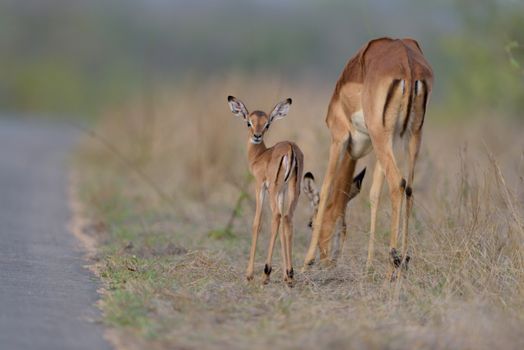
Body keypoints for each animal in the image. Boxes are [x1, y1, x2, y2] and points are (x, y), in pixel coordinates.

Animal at [226, 96, 302, 288]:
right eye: (249, 122)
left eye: (267, 124)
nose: (257, 136)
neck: (260, 156)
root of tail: (290, 149)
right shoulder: (282, 191)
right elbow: (282, 228)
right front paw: (286, 275)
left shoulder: (260, 185)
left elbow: (257, 223)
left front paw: (249, 274)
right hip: (293, 190)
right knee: (287, 218)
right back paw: (291, 275)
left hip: (273, 190)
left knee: (276, 217)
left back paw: (266, 274)